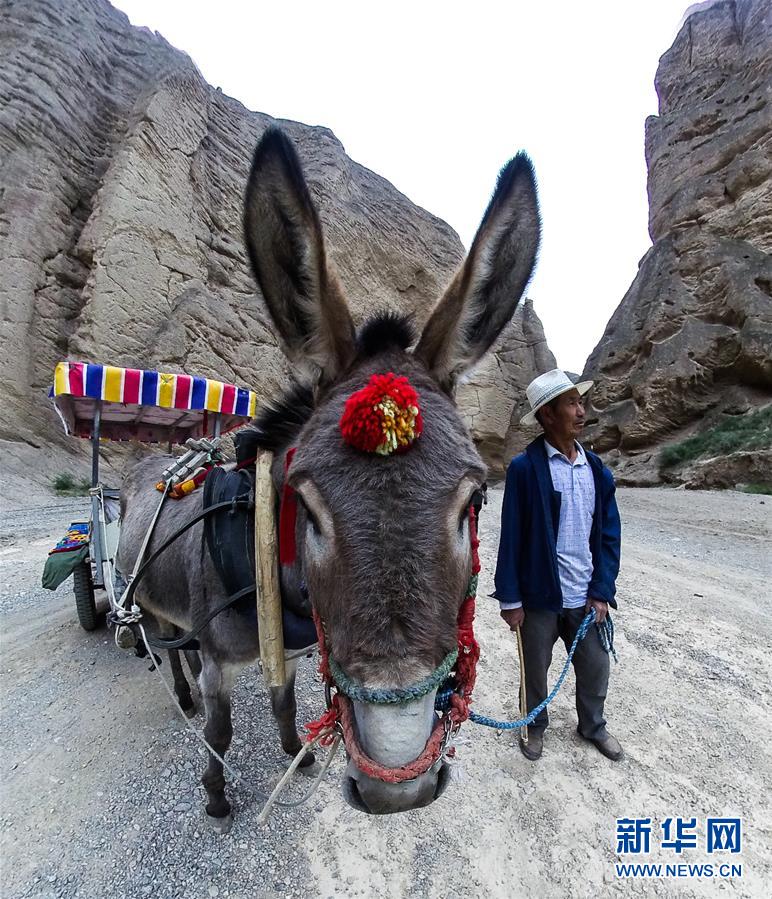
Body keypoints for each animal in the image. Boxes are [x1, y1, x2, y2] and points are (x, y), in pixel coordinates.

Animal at [116, 126, 540, 826]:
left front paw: (299, 753)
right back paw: (177, 694)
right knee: (164, 645)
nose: (397, 784)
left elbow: (285, 701)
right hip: (149, 603)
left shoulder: (288, 651)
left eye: (475, 500)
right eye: (306, 508)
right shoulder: (218, 662)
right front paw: (216, 795)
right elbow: (220, 728)